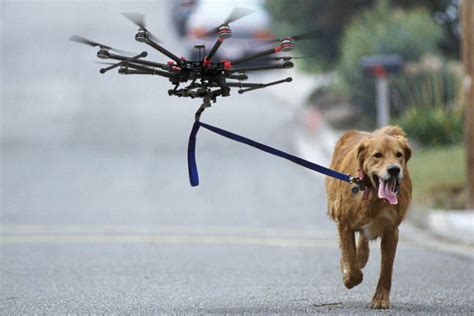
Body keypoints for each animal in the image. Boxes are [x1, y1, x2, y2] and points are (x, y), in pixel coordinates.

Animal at [326, 125, 412, 308]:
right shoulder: (344, 223)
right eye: (377, 155)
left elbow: (386, 270)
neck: (373, 195)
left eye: (399, 154)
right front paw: (349, 278)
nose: (394, 169)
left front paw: (380, 299)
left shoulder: (391, 231)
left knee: (364, 241)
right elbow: (352, 262)